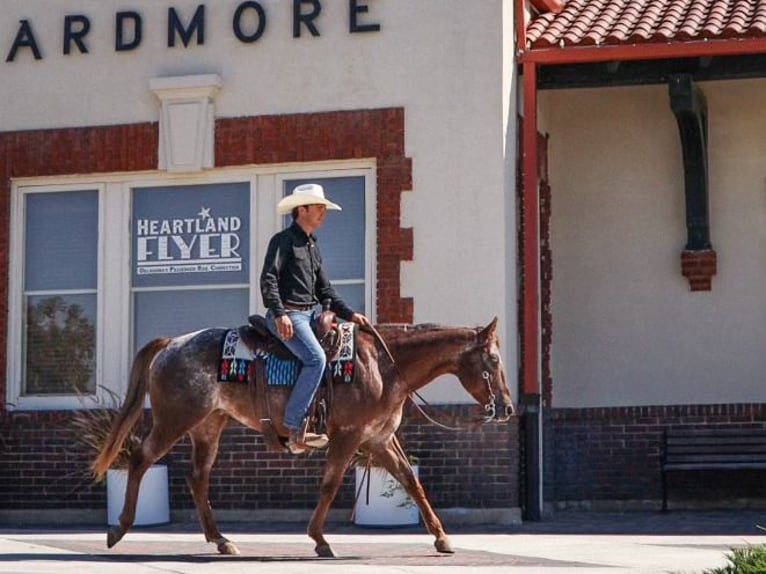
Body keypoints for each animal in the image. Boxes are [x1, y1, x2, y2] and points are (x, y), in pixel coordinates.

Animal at [91, 318, 516, 560]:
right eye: (493, 361)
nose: (508, 408)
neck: (384, 366)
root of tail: (172, 344)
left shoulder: (379, 439)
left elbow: (412, 482)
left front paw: (442, 538)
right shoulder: (350, 437)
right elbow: (330, 484)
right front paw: (319, 539)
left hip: (208, 426)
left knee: (198, 478)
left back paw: (221, 540)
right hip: (174, 420)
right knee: (140, 459)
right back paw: (118, 530)